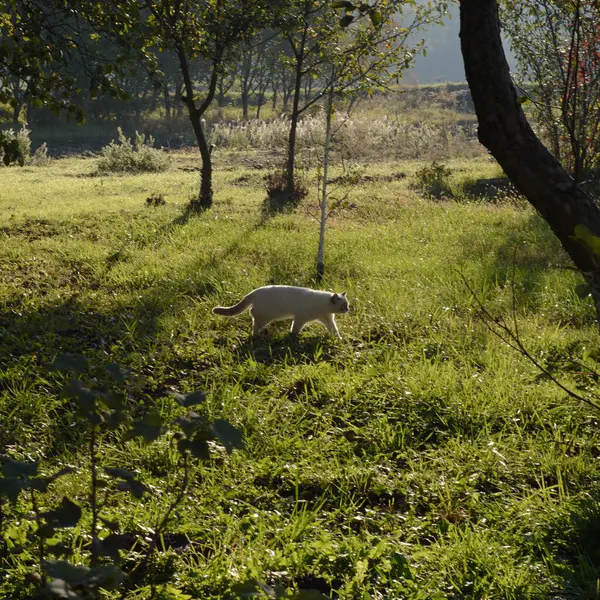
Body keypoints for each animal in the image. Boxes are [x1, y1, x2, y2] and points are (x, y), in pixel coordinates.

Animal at [212, 284, 350, 338]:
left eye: (347, 305)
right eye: (344, 306)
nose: (348, 310)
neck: (323, 307)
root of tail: (254, 292)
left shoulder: (328, 319)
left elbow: (334, 330)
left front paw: (338, 339)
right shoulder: (300, 318)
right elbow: (295, 329)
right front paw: (293, 337)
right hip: (265, 318)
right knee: (254, 323)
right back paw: (257, 336)